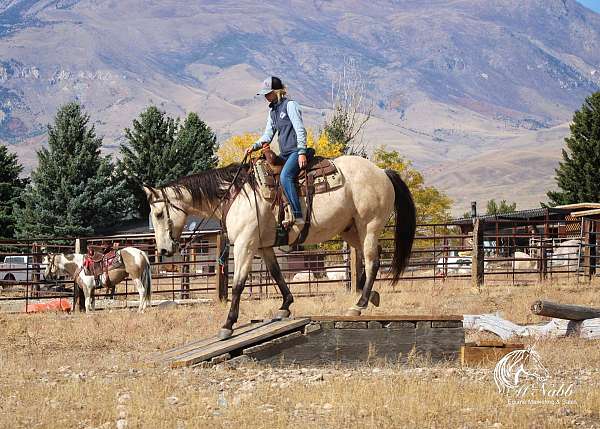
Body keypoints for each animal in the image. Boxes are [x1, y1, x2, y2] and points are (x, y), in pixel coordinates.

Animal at [143, 154, 414, 338]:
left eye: (158, 213)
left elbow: (238, 284)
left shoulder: (245, 244)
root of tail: (382, 172)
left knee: (373, 260)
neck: (235, 194)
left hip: (369, 226)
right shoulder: (263, 246)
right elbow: (275, 274)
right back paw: (370, 296)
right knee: (373, 259)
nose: (164, 251)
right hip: (351, 230)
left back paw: (358, 305)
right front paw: (285, 306)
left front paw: (228, 325)